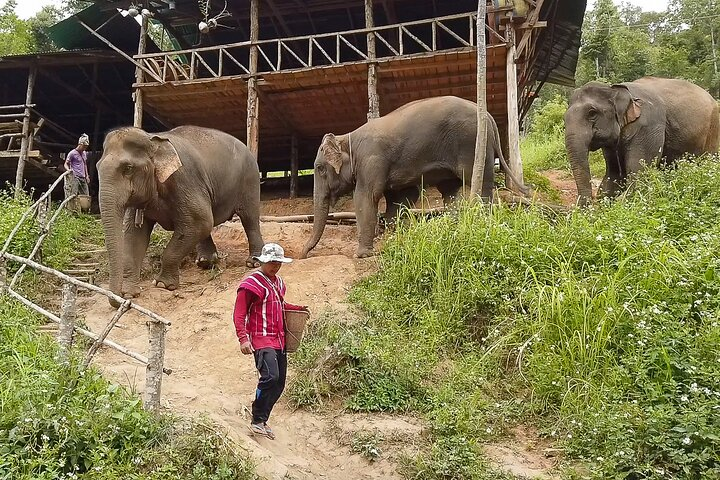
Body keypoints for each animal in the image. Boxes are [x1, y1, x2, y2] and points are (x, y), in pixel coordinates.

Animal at [97, 126, 264, 306]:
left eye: (128, 168)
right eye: (97, 167)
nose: (121, 299)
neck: (153, 139)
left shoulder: (184, 180)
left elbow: (200, 221)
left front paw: (162, 285)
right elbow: (135, 235)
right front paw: (129, 293)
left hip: (250, 180)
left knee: (249, 218)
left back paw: (254, 262)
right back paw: (205, 262)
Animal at [300, 95, 525, 259]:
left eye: (319, 168)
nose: (302, 255)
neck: (347, 138)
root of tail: (489, 116)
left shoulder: (371, 160)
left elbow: (366, 196)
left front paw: (362, 255)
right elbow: (402, 196)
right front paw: (391, 237)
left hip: (473, 144)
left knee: (480, 182)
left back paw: (482, 220)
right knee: (450, 190)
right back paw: (453, 226)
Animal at [564, 76, 720, 204]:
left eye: (592, 113)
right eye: (564, 117)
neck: (615, 89)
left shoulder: (648, 125)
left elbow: (638, 174)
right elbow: (614, 176)